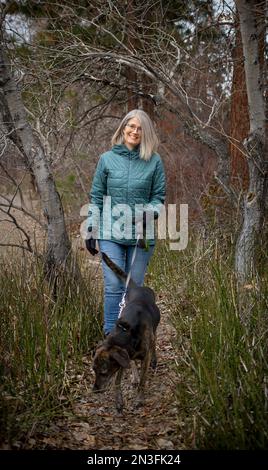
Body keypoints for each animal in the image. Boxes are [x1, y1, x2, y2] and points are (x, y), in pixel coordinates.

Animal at [92, 252, 159, 414]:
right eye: (93, 370)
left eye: (103, 372)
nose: (94, 390)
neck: (127, 332)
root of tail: (137, 288)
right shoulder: (123, 358)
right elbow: (117, 380)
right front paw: (118, 400)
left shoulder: (144, 356)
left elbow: (143, 380)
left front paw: (139, 399)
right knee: (134, 362)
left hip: (153, 332)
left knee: (154, 342)